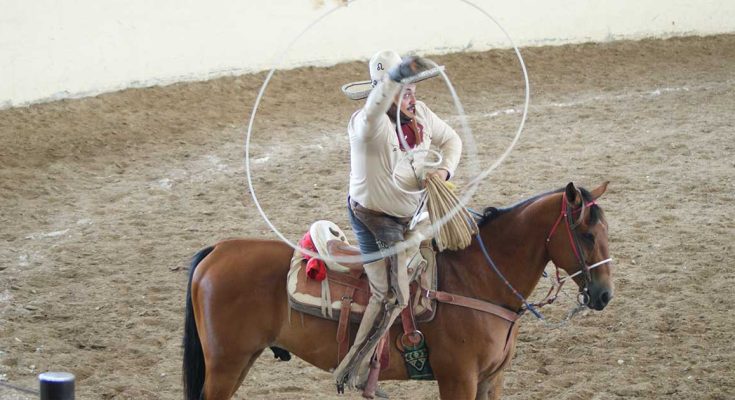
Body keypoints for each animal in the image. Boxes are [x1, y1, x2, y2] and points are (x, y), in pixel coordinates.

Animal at [183, 182, 616, 400]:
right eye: (585, 234)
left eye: (606, 231)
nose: (604, 295)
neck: (477, 281)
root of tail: (218, 249)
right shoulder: (458, 380)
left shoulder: (492, 381)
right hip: (226, 364)